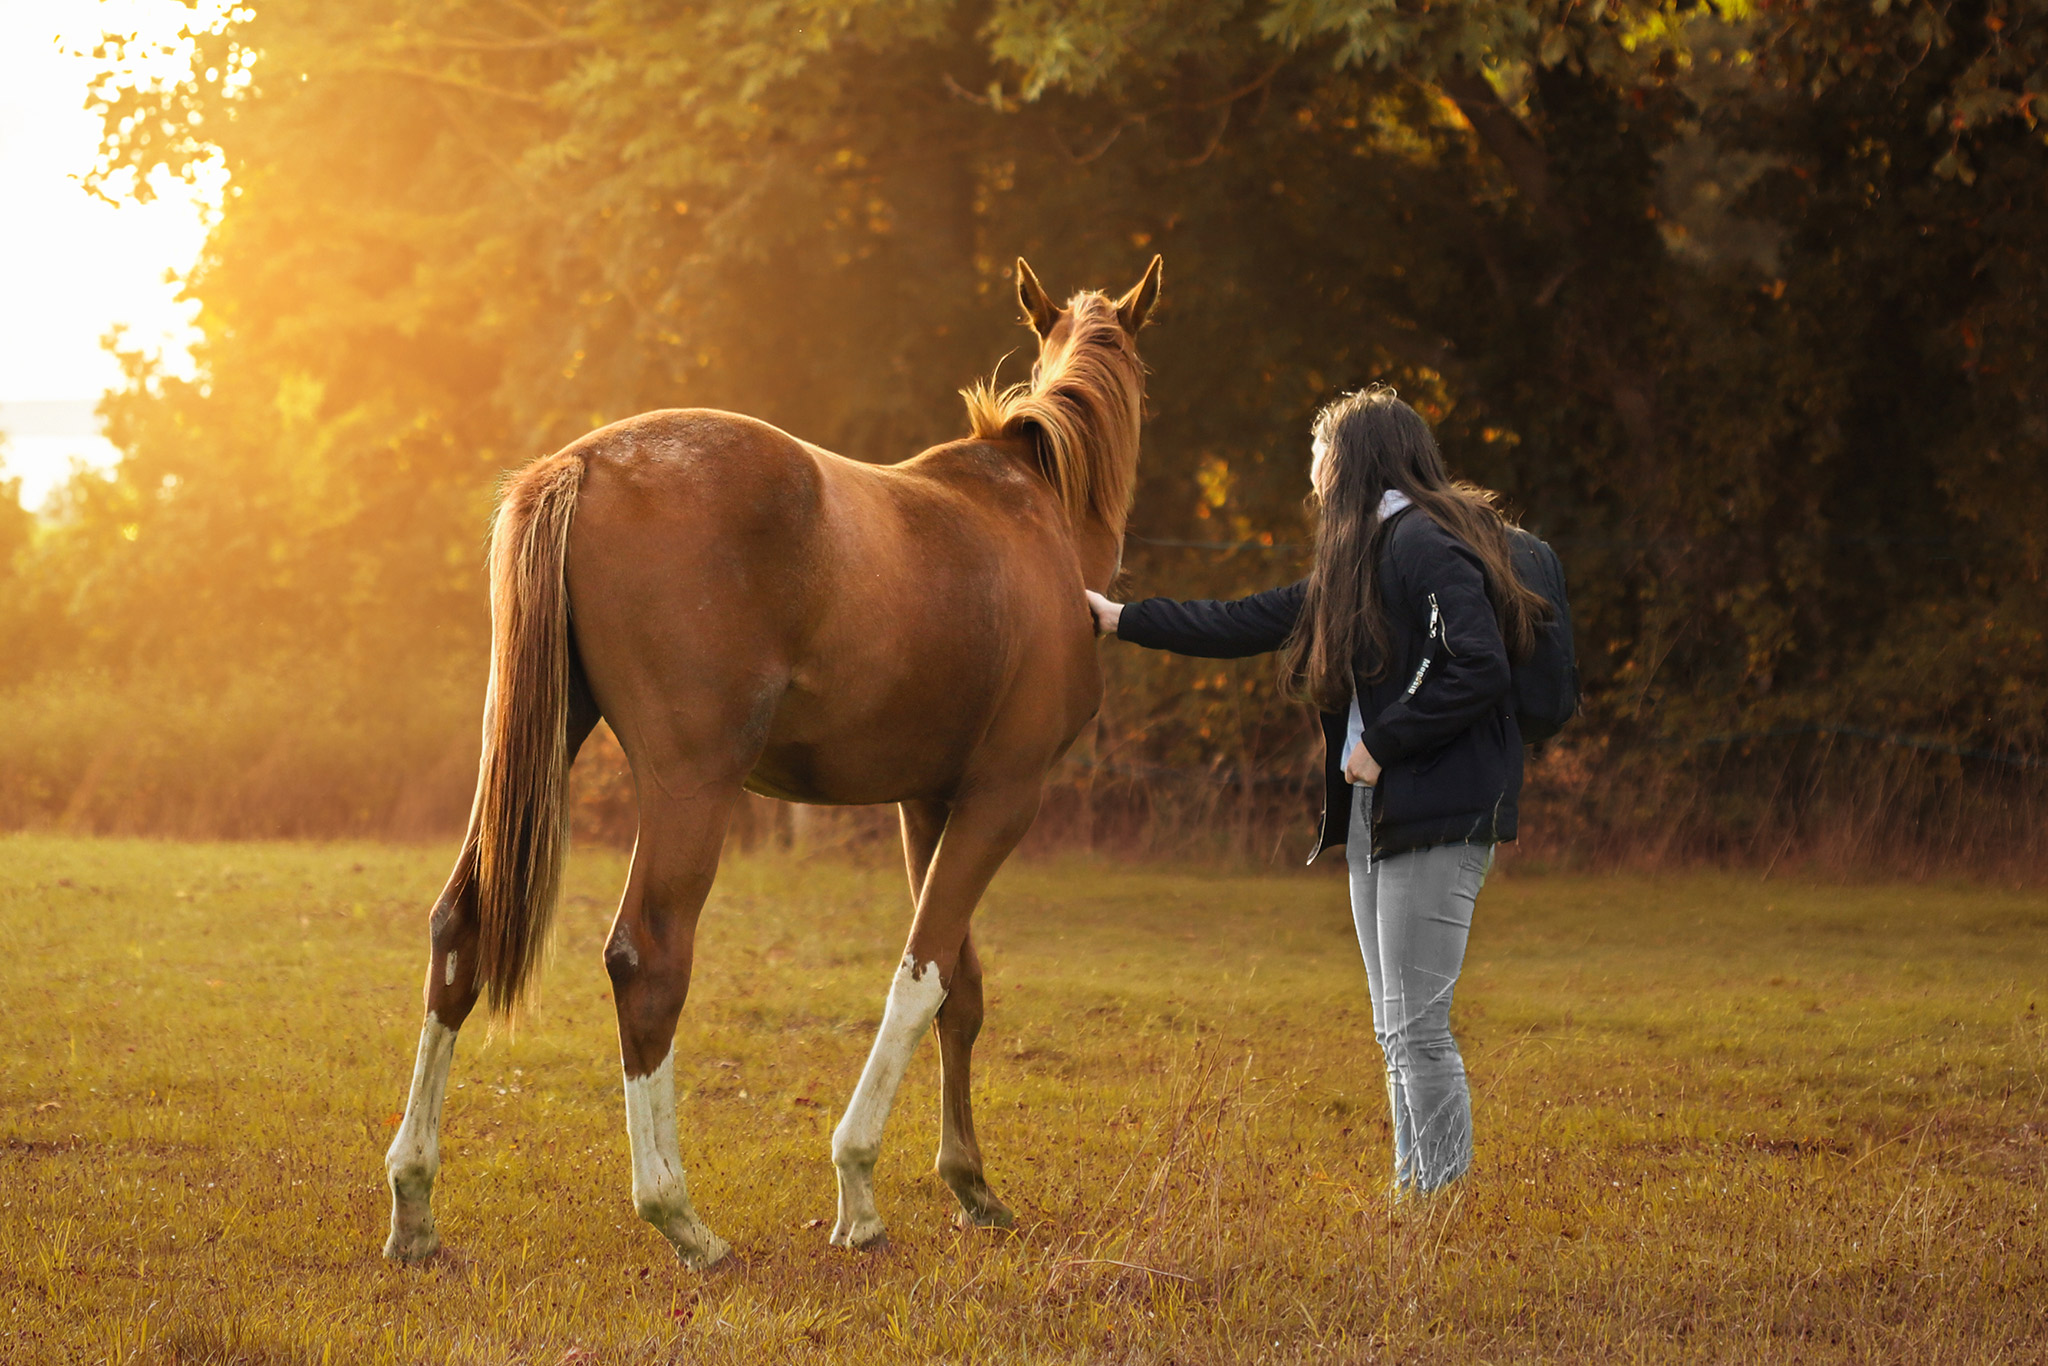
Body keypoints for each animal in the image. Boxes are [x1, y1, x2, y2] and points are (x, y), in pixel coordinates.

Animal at [382, 255, 1163, 1269]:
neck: (1034, 516)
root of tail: (583, 465)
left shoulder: (929, 803)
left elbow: (961, 989)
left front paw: (972, 1186)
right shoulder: (1003, 799)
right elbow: (920, 978)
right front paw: (860, 1191)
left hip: (531, 760)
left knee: (460, 928)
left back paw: (414, 1203)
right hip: (692, 788)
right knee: (647, 958)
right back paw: (679, 1216)